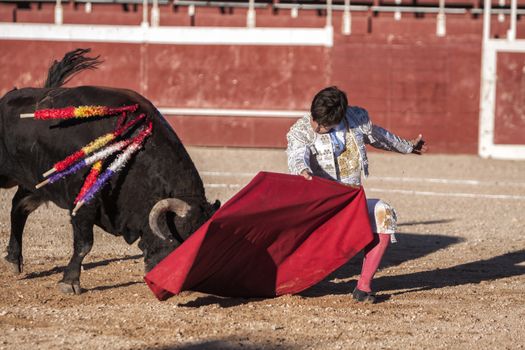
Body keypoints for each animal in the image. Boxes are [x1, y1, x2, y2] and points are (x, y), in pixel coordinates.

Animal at [0, 58, 218, 296]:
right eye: (181, 238)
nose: (182, 287)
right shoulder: (83, 201)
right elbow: (84, 243)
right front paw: (70, 282)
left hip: (35, 183)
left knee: (19, 207)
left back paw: (14, 259)